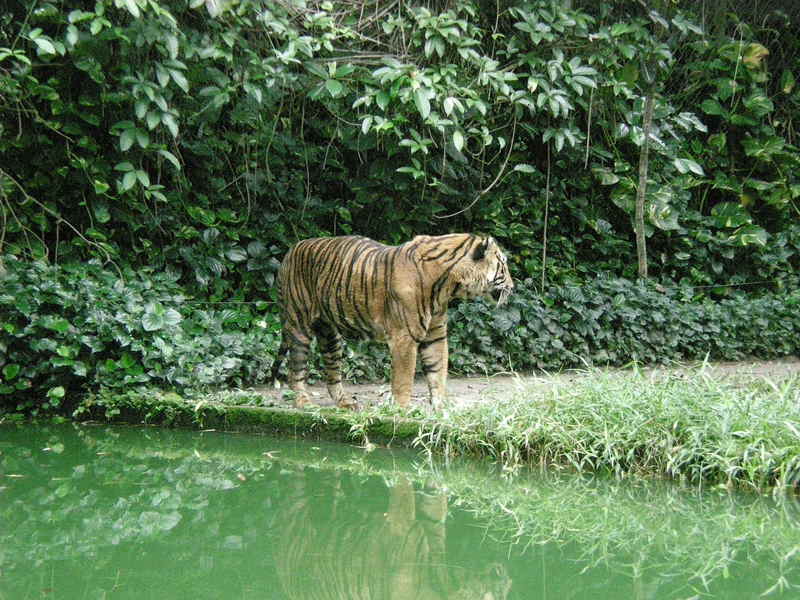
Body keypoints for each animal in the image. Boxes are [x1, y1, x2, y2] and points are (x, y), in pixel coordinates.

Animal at [268, 232, 512, 410]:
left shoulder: (435, 334)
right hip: (299, 326)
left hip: (330, 335)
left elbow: (438, 371)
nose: (512, 286)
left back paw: (345, 403)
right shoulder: (405, 336)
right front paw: (402, 409)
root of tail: (290, 250)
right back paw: (304, 402)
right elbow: (404, 378)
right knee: (295, 371)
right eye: (503, 265)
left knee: (332, 373)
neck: (447, 285)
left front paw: (441, 408)